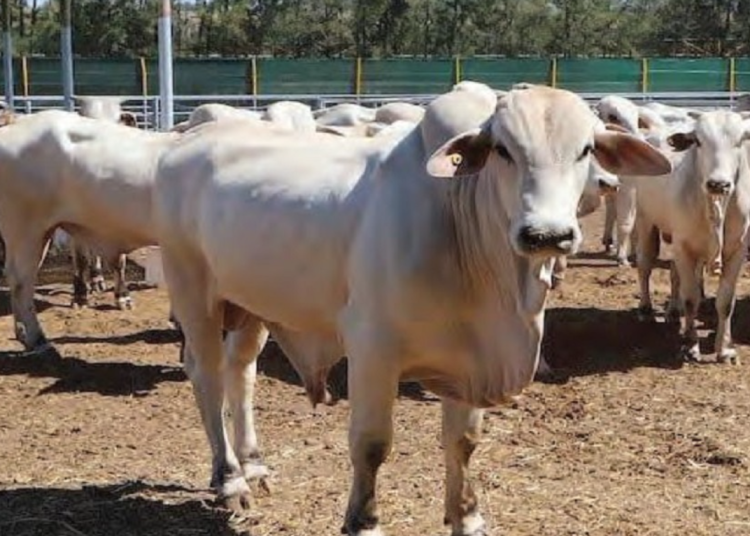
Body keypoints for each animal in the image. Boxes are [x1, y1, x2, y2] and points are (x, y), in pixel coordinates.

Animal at [153, 85, 670, 535]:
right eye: (503, 150)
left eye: (585, 149)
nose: (547, 234)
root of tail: (186, 141)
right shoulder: (373, 351)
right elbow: (371, 444)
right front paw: (363, 522)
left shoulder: (468, 359)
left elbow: (463, 443)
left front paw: (467, 516)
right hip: (193, 288)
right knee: (207, 373)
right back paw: (229, 478)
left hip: (251, 303)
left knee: (241, 371)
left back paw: (254, 464)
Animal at [634, 110, 750, 363]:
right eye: (698, 141)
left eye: (740, 141)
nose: (718, 184)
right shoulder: (684, 247)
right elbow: (691, 298)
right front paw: (690, 345)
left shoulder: (736, 250)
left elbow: (726, 301)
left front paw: (724, 349)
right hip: (646, 221)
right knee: (645, 265)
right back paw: (646, 310)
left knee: (674, 274)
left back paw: (673, 311)